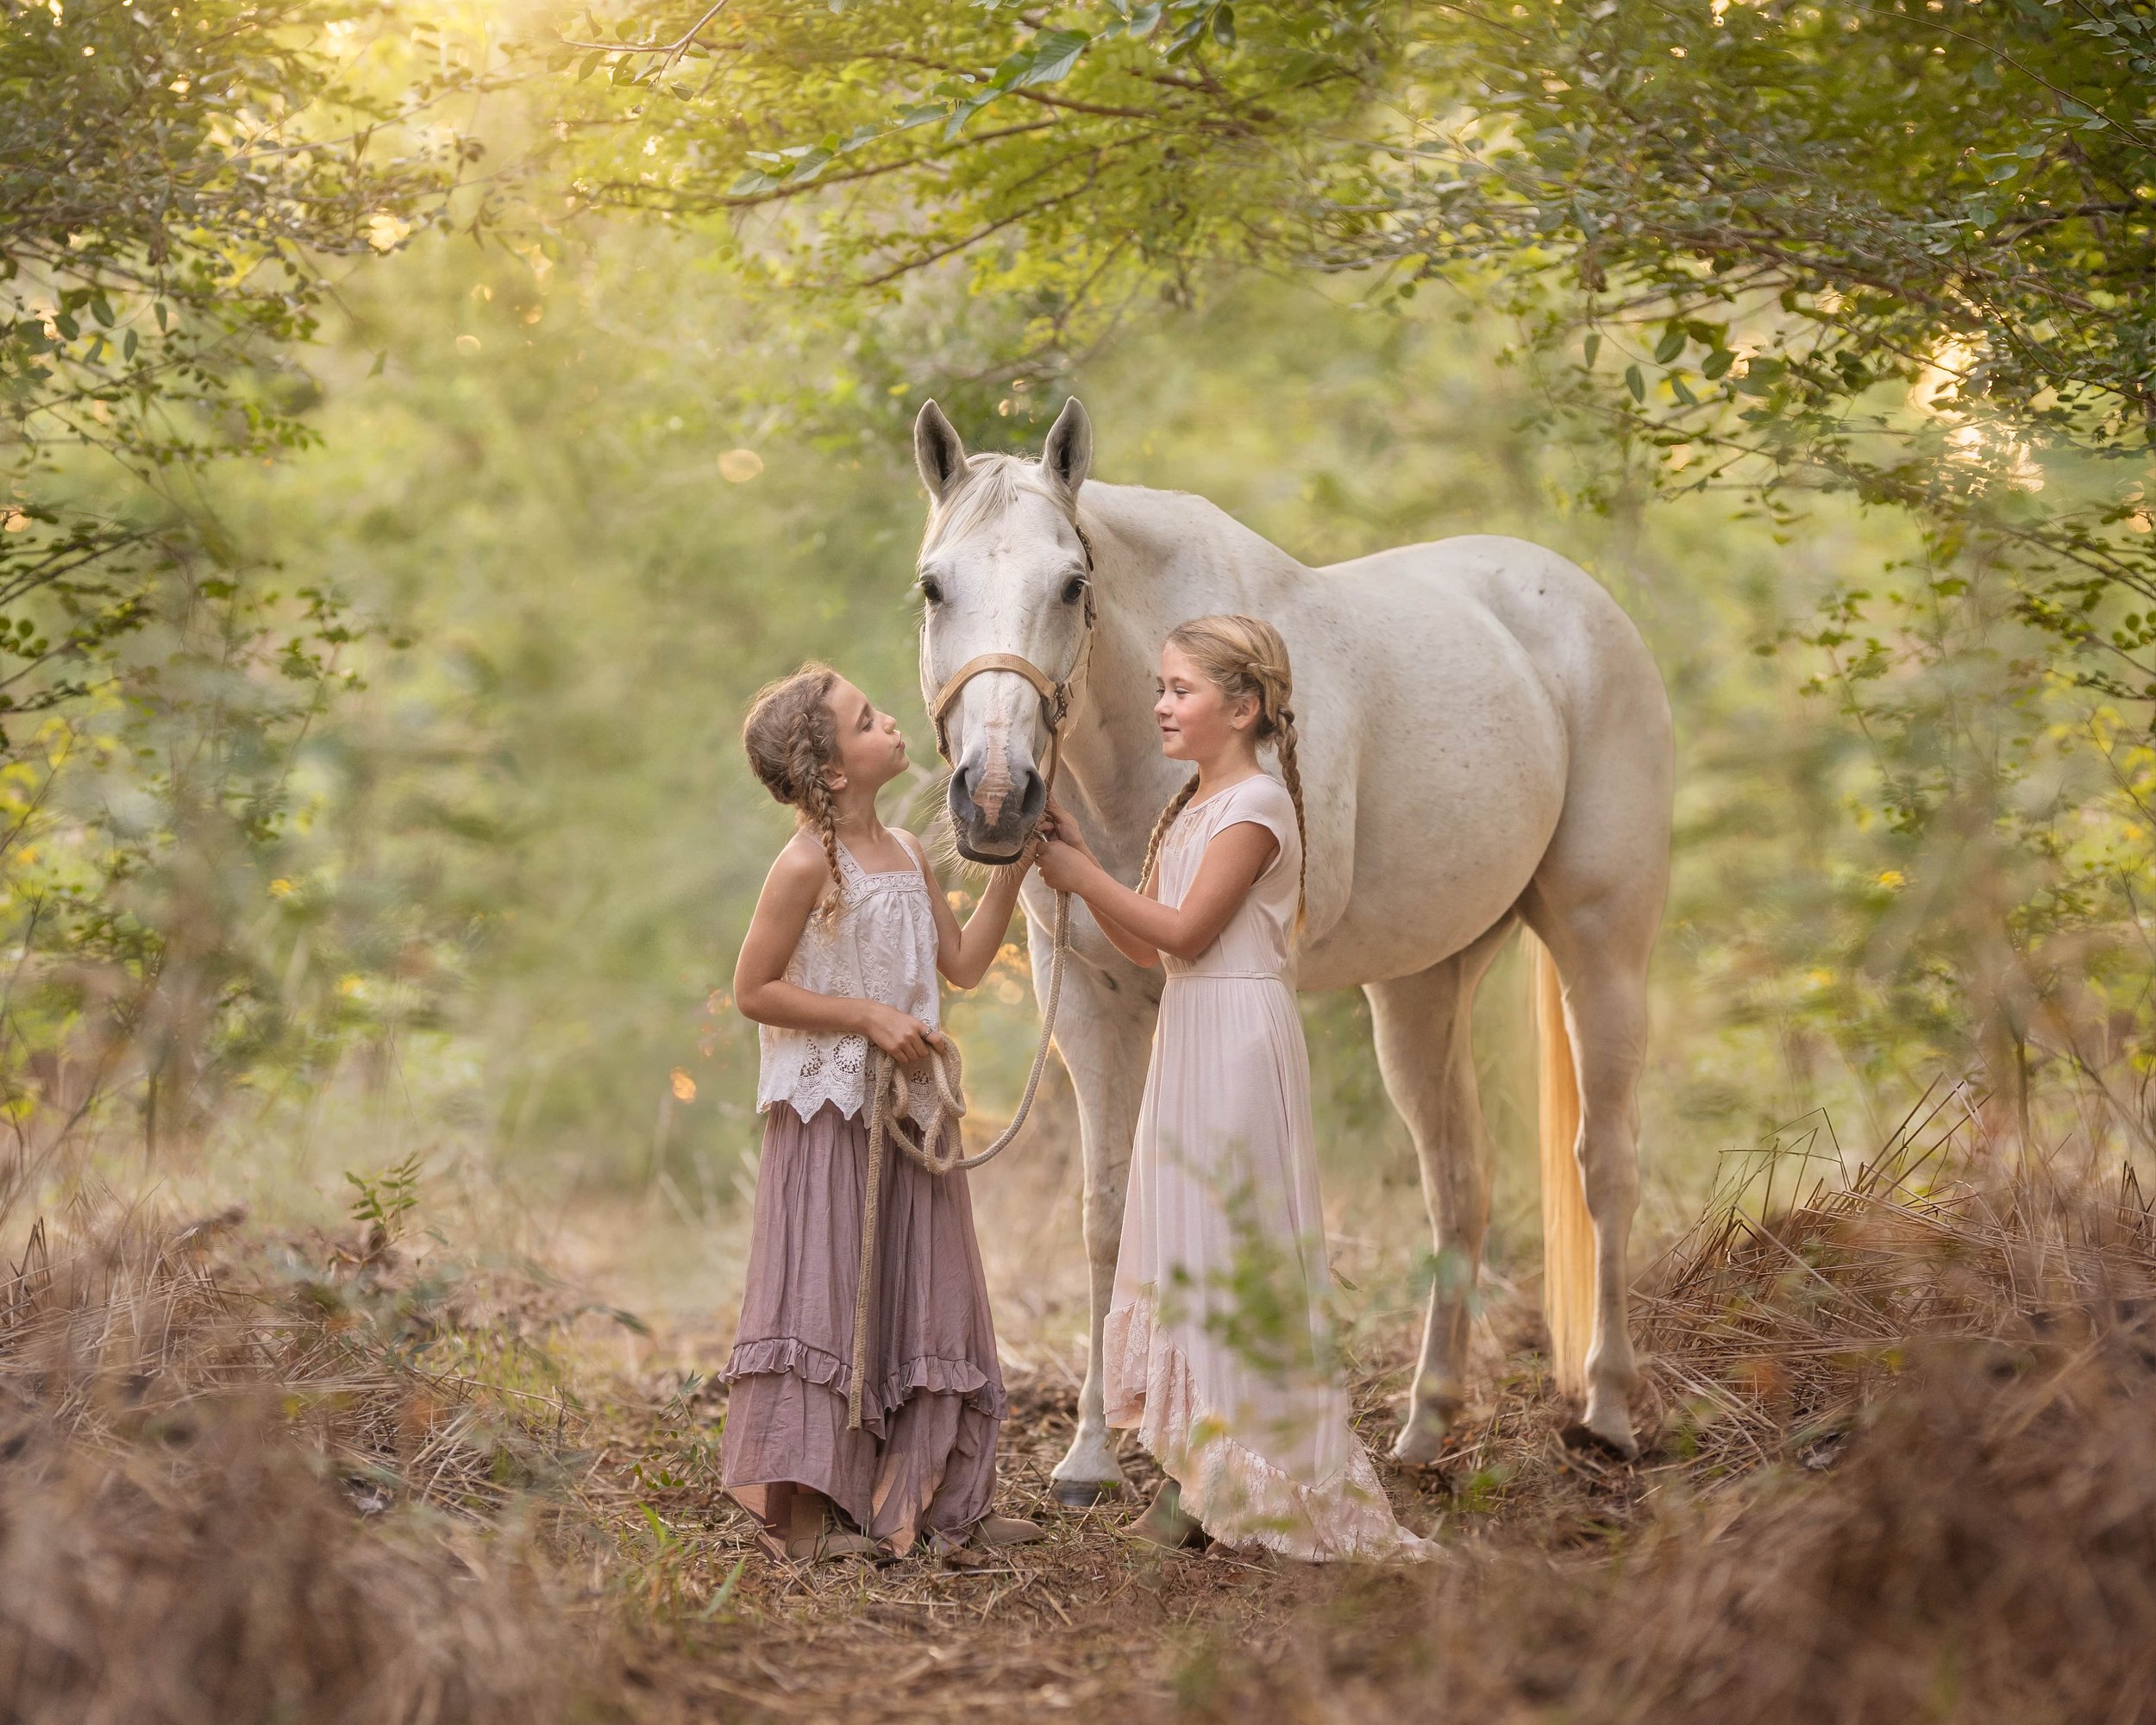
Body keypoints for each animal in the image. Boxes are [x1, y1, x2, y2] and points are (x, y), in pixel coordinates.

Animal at [910, 394, 1664, 1492]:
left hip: (1602, 945)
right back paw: (1424, 1426)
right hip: (1422, 986)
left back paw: (1605, 1410)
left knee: (1603, 1163)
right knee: (1459, 1183)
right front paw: (1093, 1453)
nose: (1000, 796)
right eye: (934, 585)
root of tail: (1581, 602)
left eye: (1071, 583)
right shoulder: (1088, 996)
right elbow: (1107, 1214)